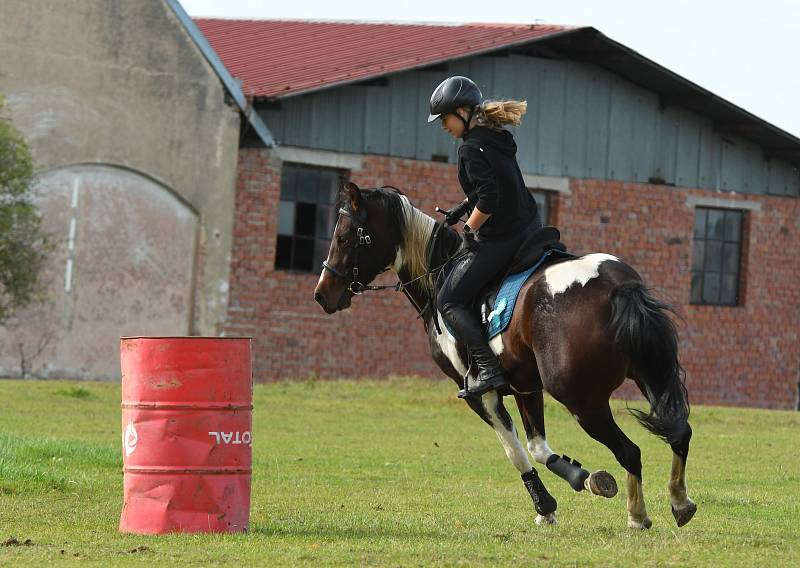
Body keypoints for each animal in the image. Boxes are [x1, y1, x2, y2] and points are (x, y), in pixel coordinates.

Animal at [312, 181, 692, 528]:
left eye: (344, 238)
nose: (321, 294)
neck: (439, 276)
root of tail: (617, 286)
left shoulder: (481, 395)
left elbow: (514, 451)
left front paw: (546, 506)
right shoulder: (526, 387)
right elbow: (538, 448)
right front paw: (581, 477)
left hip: (581, 399)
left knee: (630, 451)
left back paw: (638, 514)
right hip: (649, 374)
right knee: (680, 432)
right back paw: (679, 500)